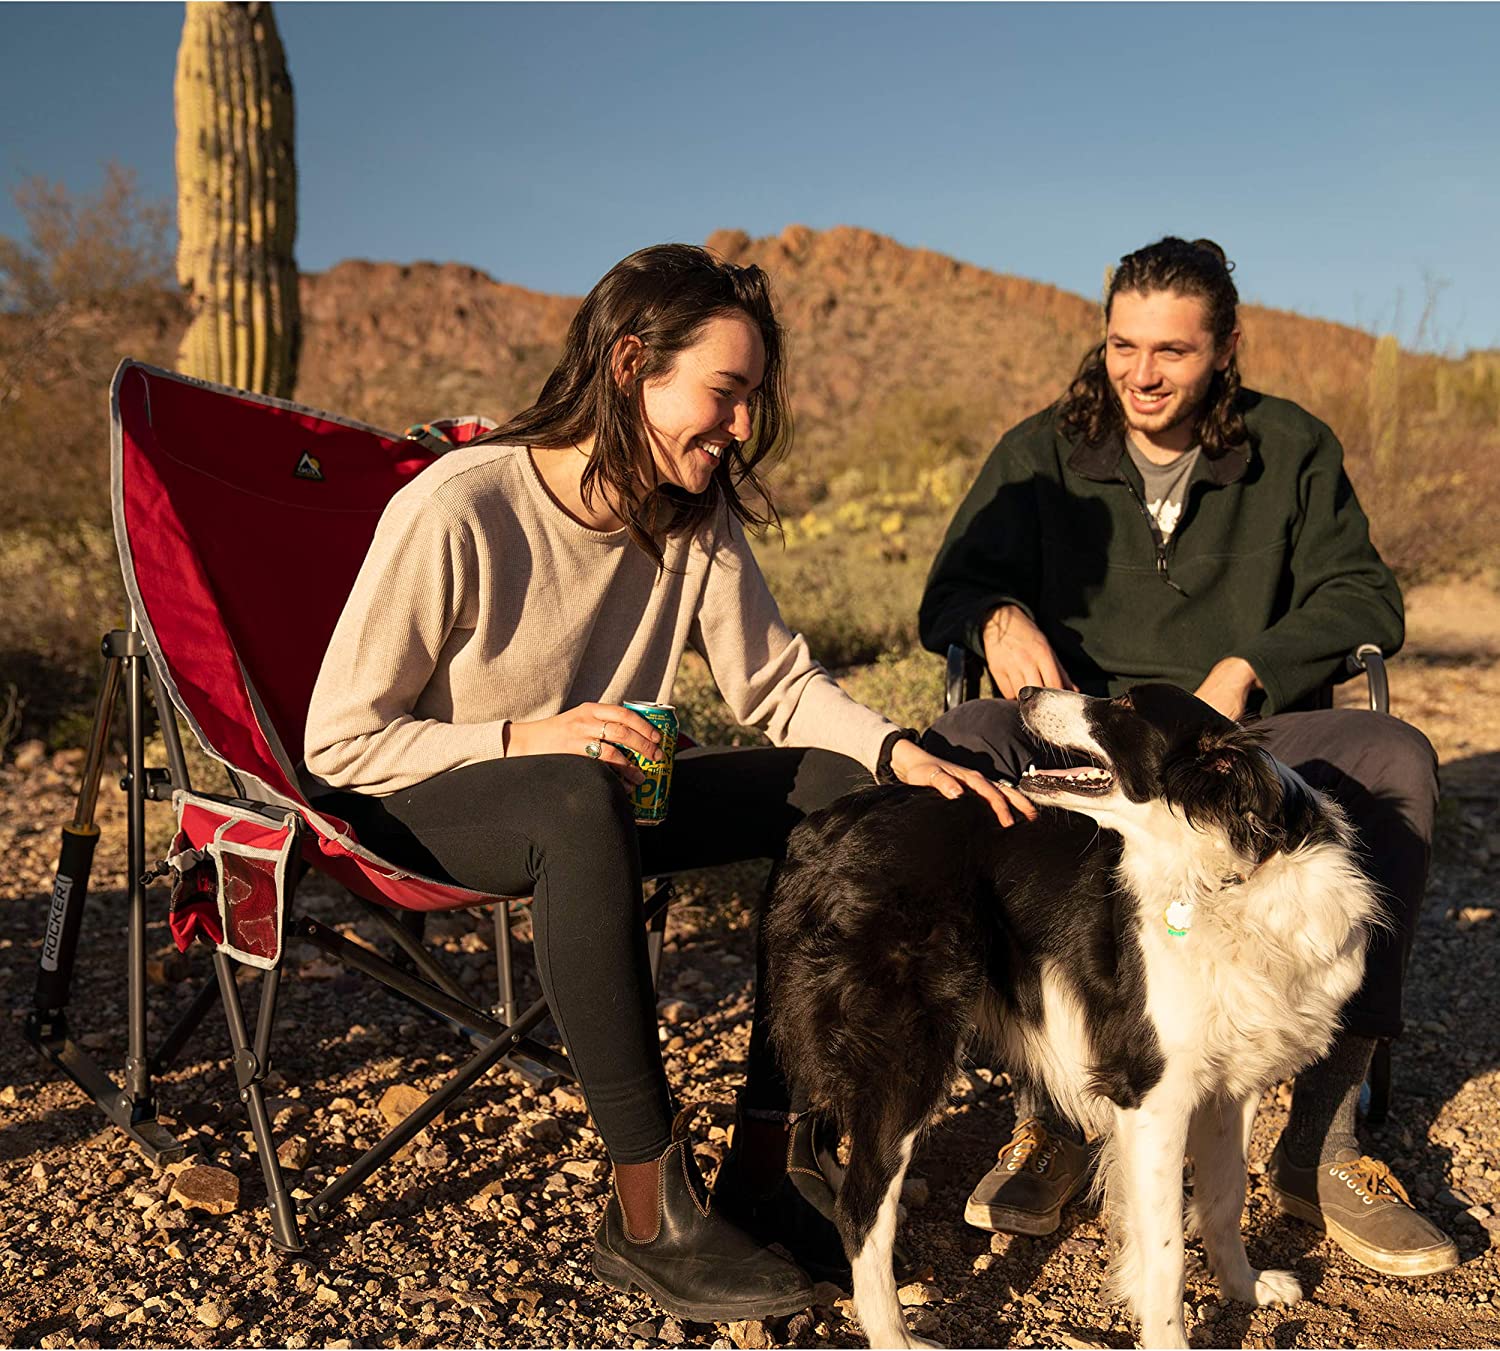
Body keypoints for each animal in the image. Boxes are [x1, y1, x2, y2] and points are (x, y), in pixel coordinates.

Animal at [768, 689, 1374, 1343]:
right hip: (908, 1057)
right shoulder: (1153, 1091)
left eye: (1126, 705)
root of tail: (822, 826)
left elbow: (1225, 1195)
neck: (1225, 878)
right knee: (860, 1207)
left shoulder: (1234, 1085)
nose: (1026, 692)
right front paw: (1168, 1335)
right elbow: (1165, 1250)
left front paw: (1244, 1286)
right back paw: (896, 1337)